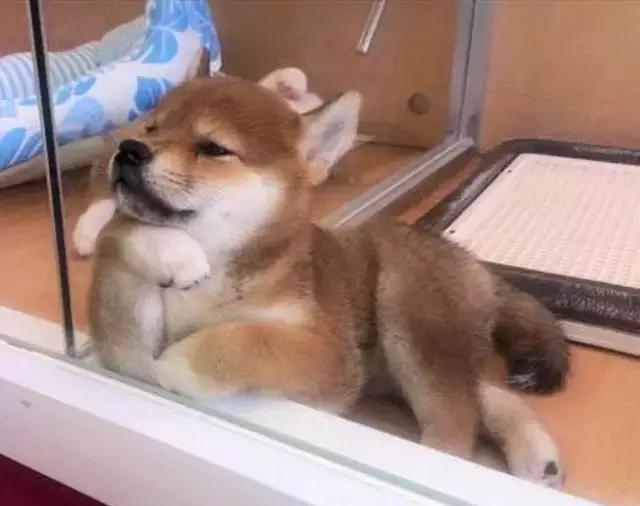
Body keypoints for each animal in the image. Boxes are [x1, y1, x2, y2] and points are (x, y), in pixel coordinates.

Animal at [88, 75, 569, 488]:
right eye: (152, 128)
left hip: (408, 311)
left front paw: (184, 362)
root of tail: (476, 265)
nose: (129, 148)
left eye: (212, 148)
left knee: (457, 426)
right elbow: (119, 228)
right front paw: (173, 252)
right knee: (486, 396)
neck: (221, 273)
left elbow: (248, 339)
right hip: (401, 365)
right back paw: (536, 454)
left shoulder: (331, 358)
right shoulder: (125, 348)